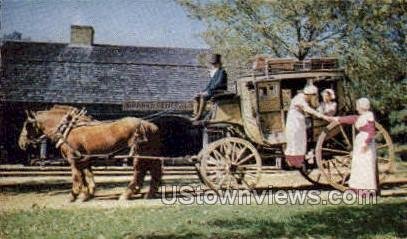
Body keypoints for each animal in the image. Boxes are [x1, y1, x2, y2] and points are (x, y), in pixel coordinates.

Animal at [17, 105, 161, 202]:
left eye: (26, 125)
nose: (21, 143)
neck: (68, 129)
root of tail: (149, 124)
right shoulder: (84, 158)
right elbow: (86, 175)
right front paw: (87, 193)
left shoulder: (73, 158)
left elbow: (77, 176)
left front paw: (74, 194)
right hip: (147, 154)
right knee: (152, 170)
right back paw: (149, 193)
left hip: (139, 153)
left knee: (139, 172)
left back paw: (127, 194)